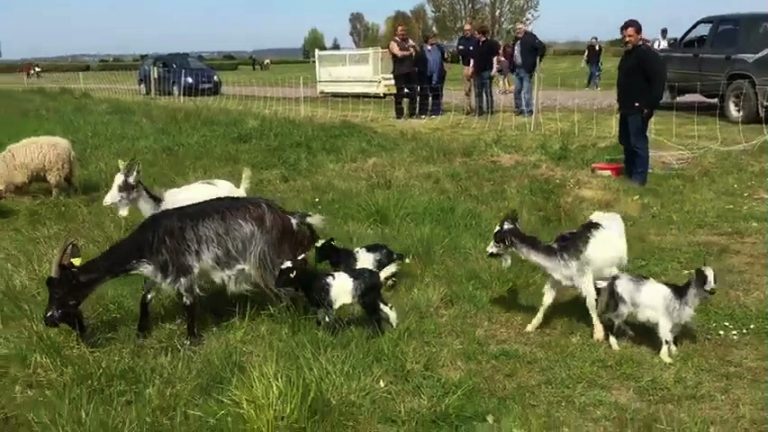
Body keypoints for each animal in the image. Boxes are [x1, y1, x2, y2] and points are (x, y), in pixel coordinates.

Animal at [42, 196, 324, 340]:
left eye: (60, 291)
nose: (47, 320)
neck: (148, 242)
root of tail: (291, 218)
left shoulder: (183, 270)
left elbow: (189, 303)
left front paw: (191, 339)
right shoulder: (156, 272)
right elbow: (145, 298)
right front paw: (141, 332)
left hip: (269, 262)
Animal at [488, 211, 628, 342]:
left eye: (497, 240)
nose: (488, 252)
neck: (559, 254)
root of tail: (610, 214)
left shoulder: (585, 278)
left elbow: (590, 304)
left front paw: (598, 334)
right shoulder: (555, 278)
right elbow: (546, 301)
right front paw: (532, 326)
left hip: (614, 267)